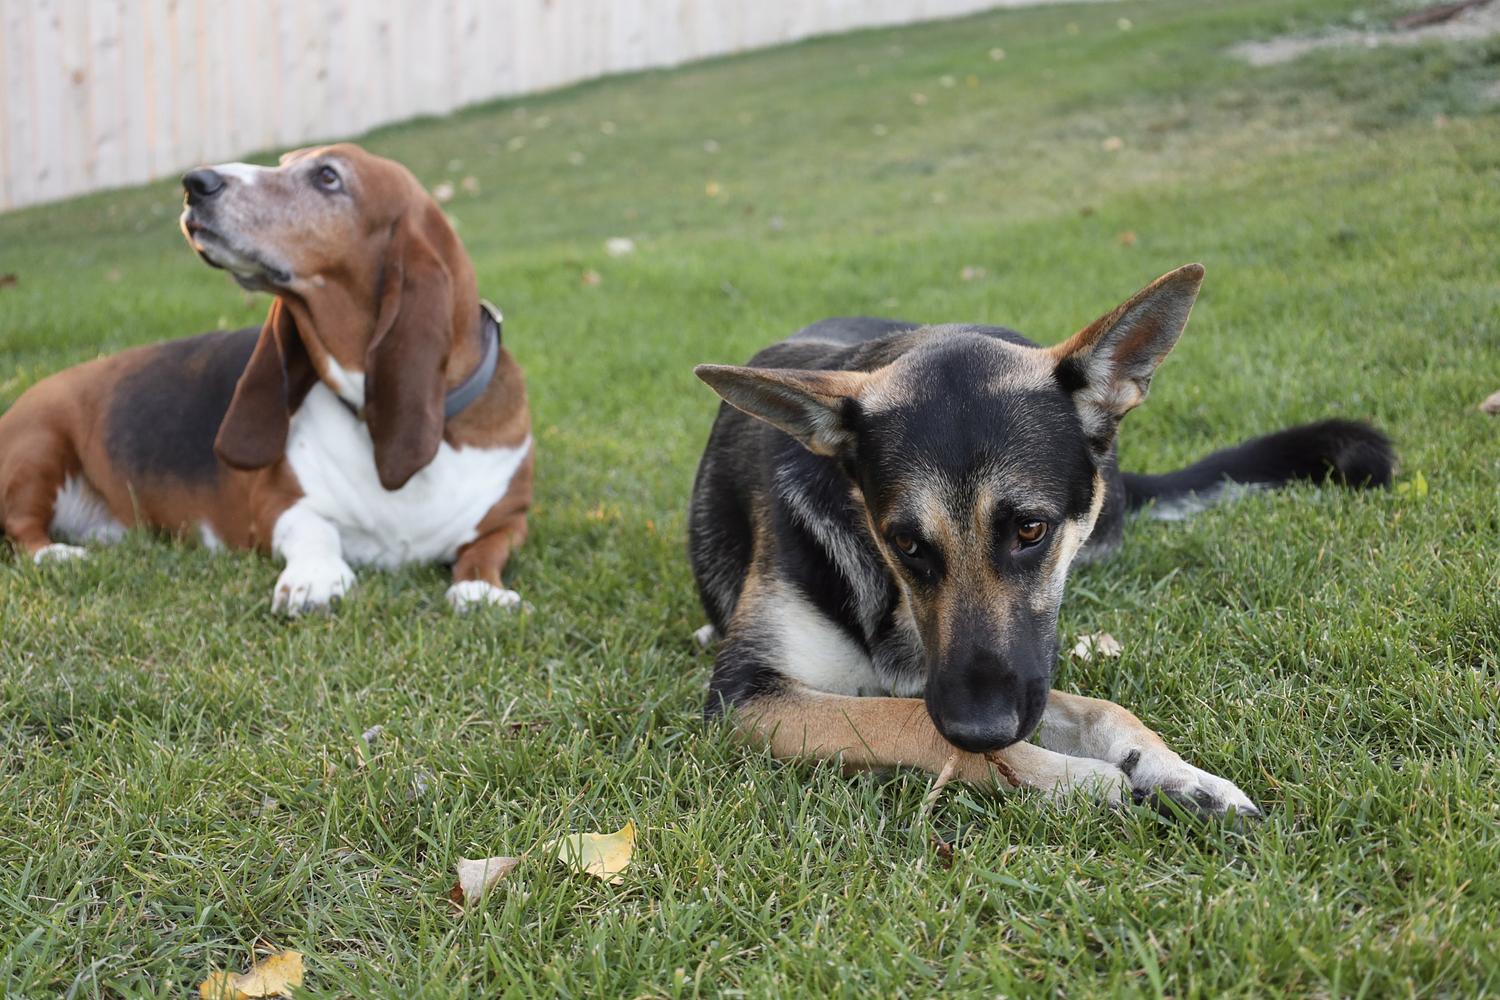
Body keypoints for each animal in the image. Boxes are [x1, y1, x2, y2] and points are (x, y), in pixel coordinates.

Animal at [0, 144, 533, 615]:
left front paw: (480, 591)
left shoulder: (512, 520)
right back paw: (57, 554)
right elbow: (316, 531)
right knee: (21, 527)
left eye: (328, 177)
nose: (195, 183)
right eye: (283, 163)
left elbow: (483, 551)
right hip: (41, 442)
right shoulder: (278, 505)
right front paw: (315, 578)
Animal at [688, 264, 1394, 816]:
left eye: (1031, 530)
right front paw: (1073, 778)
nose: (979, 725)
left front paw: (1178, 773)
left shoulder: (1016, 671)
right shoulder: (747, 697)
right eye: (905, 544)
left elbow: (1097, 709)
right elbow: (907, 718)